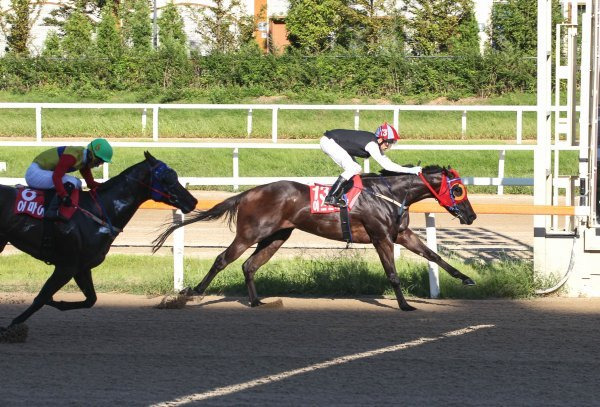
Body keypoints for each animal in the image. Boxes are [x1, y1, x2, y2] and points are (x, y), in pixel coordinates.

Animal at [0, 151, 197, 334]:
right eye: (166, 177)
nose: (193, 201)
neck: (98, 211)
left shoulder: (82, 267)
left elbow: (90, 300)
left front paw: (57, 302)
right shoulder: (67, 266)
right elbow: (41, 298)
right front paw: (11, 328)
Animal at [155, 166, 478, 312]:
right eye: (458, 189)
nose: (472, 216)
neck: (390, 193)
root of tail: (246, 194)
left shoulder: (401, 234)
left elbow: (433, 255)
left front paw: (466, 279)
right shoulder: (380, 237)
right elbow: (393, 274)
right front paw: (405, 305)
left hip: (276, 237)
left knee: (249, 266)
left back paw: (257, 301)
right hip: (250, 233)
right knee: (223, 259)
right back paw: (191, 293)